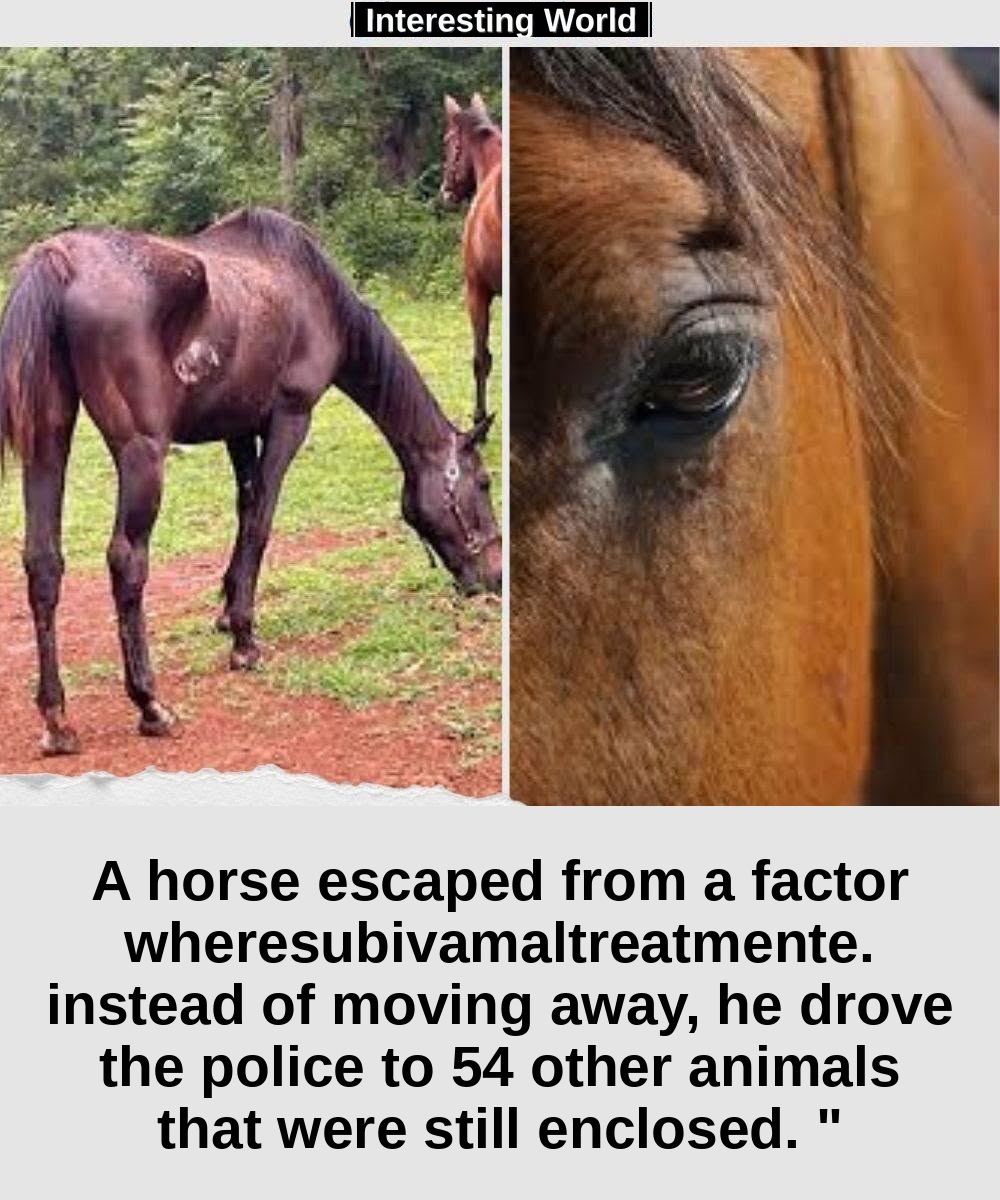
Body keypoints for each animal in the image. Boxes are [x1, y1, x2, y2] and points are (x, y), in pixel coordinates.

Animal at [0, 207, 501, 757]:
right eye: (483, 483)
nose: (494, 580)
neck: (315, 292)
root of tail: (60, 262)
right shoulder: (289, 418)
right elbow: (261, 522)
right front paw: (244, 639)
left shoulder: (237, 428)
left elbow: (244, 510)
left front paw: (225, 609)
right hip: (141, 452)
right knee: (127, 561)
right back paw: (150, 703)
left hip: (47, 442)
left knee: (43, 562)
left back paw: (56, 719)